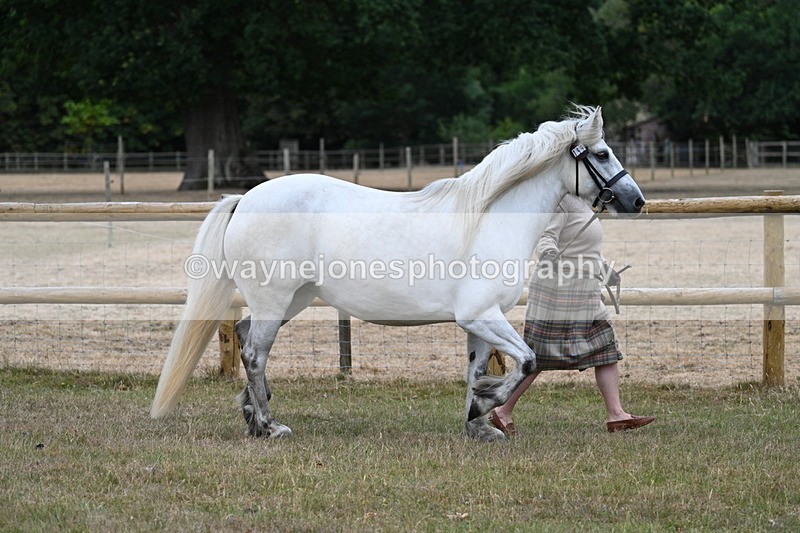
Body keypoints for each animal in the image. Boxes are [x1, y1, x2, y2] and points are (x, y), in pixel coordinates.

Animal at [150, 105, 645, 441]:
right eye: (602, 152)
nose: (636, 200)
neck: (489, 218)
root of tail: (246, 199)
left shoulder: (480, 322)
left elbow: (475, 369)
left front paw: (478, 424)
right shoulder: (482, 315)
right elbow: (527, 360)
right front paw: (485, 406)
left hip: (292, 299)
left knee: (244, 334)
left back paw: (253, 417)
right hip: (275, 299)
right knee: (254, 354)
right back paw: (271, 426)